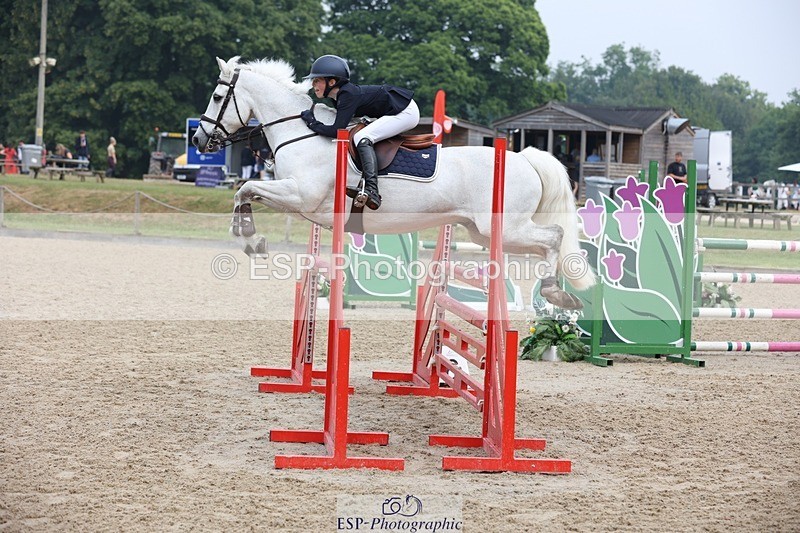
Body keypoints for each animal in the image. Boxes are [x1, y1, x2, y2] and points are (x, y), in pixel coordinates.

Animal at [192, 56, 593, 309]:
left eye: (217, 96)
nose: (198, 140)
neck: (300, 132)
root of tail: (524, 157)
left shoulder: (301, 195)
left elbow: (245, 189)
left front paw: (250, 238)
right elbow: (245, 193)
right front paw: (250, 237)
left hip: (505, 226)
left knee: (555, 236)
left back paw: (556, 293)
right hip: (486, 233)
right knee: (546, 243)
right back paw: (560, 293)